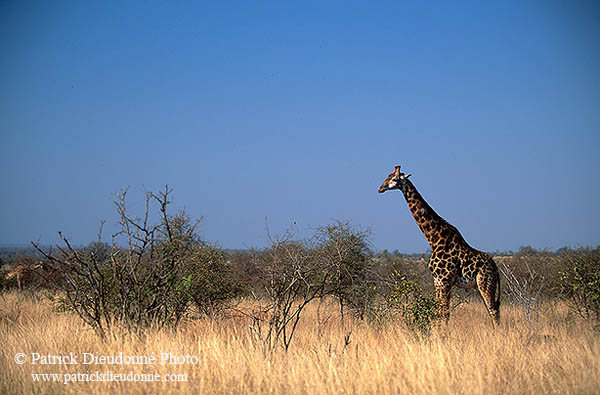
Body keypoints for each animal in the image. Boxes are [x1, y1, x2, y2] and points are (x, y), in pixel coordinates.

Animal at [380, 166, 502, 324]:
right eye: (387, 176)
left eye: (394, 179)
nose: (380, 188)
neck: (433, 238)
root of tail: (496, 269)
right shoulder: (437, 280)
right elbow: (438, 312)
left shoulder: (445, 280)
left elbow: (445, 313)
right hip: (478, 286)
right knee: (492, 310)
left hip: (485, 283)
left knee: (494, 311)